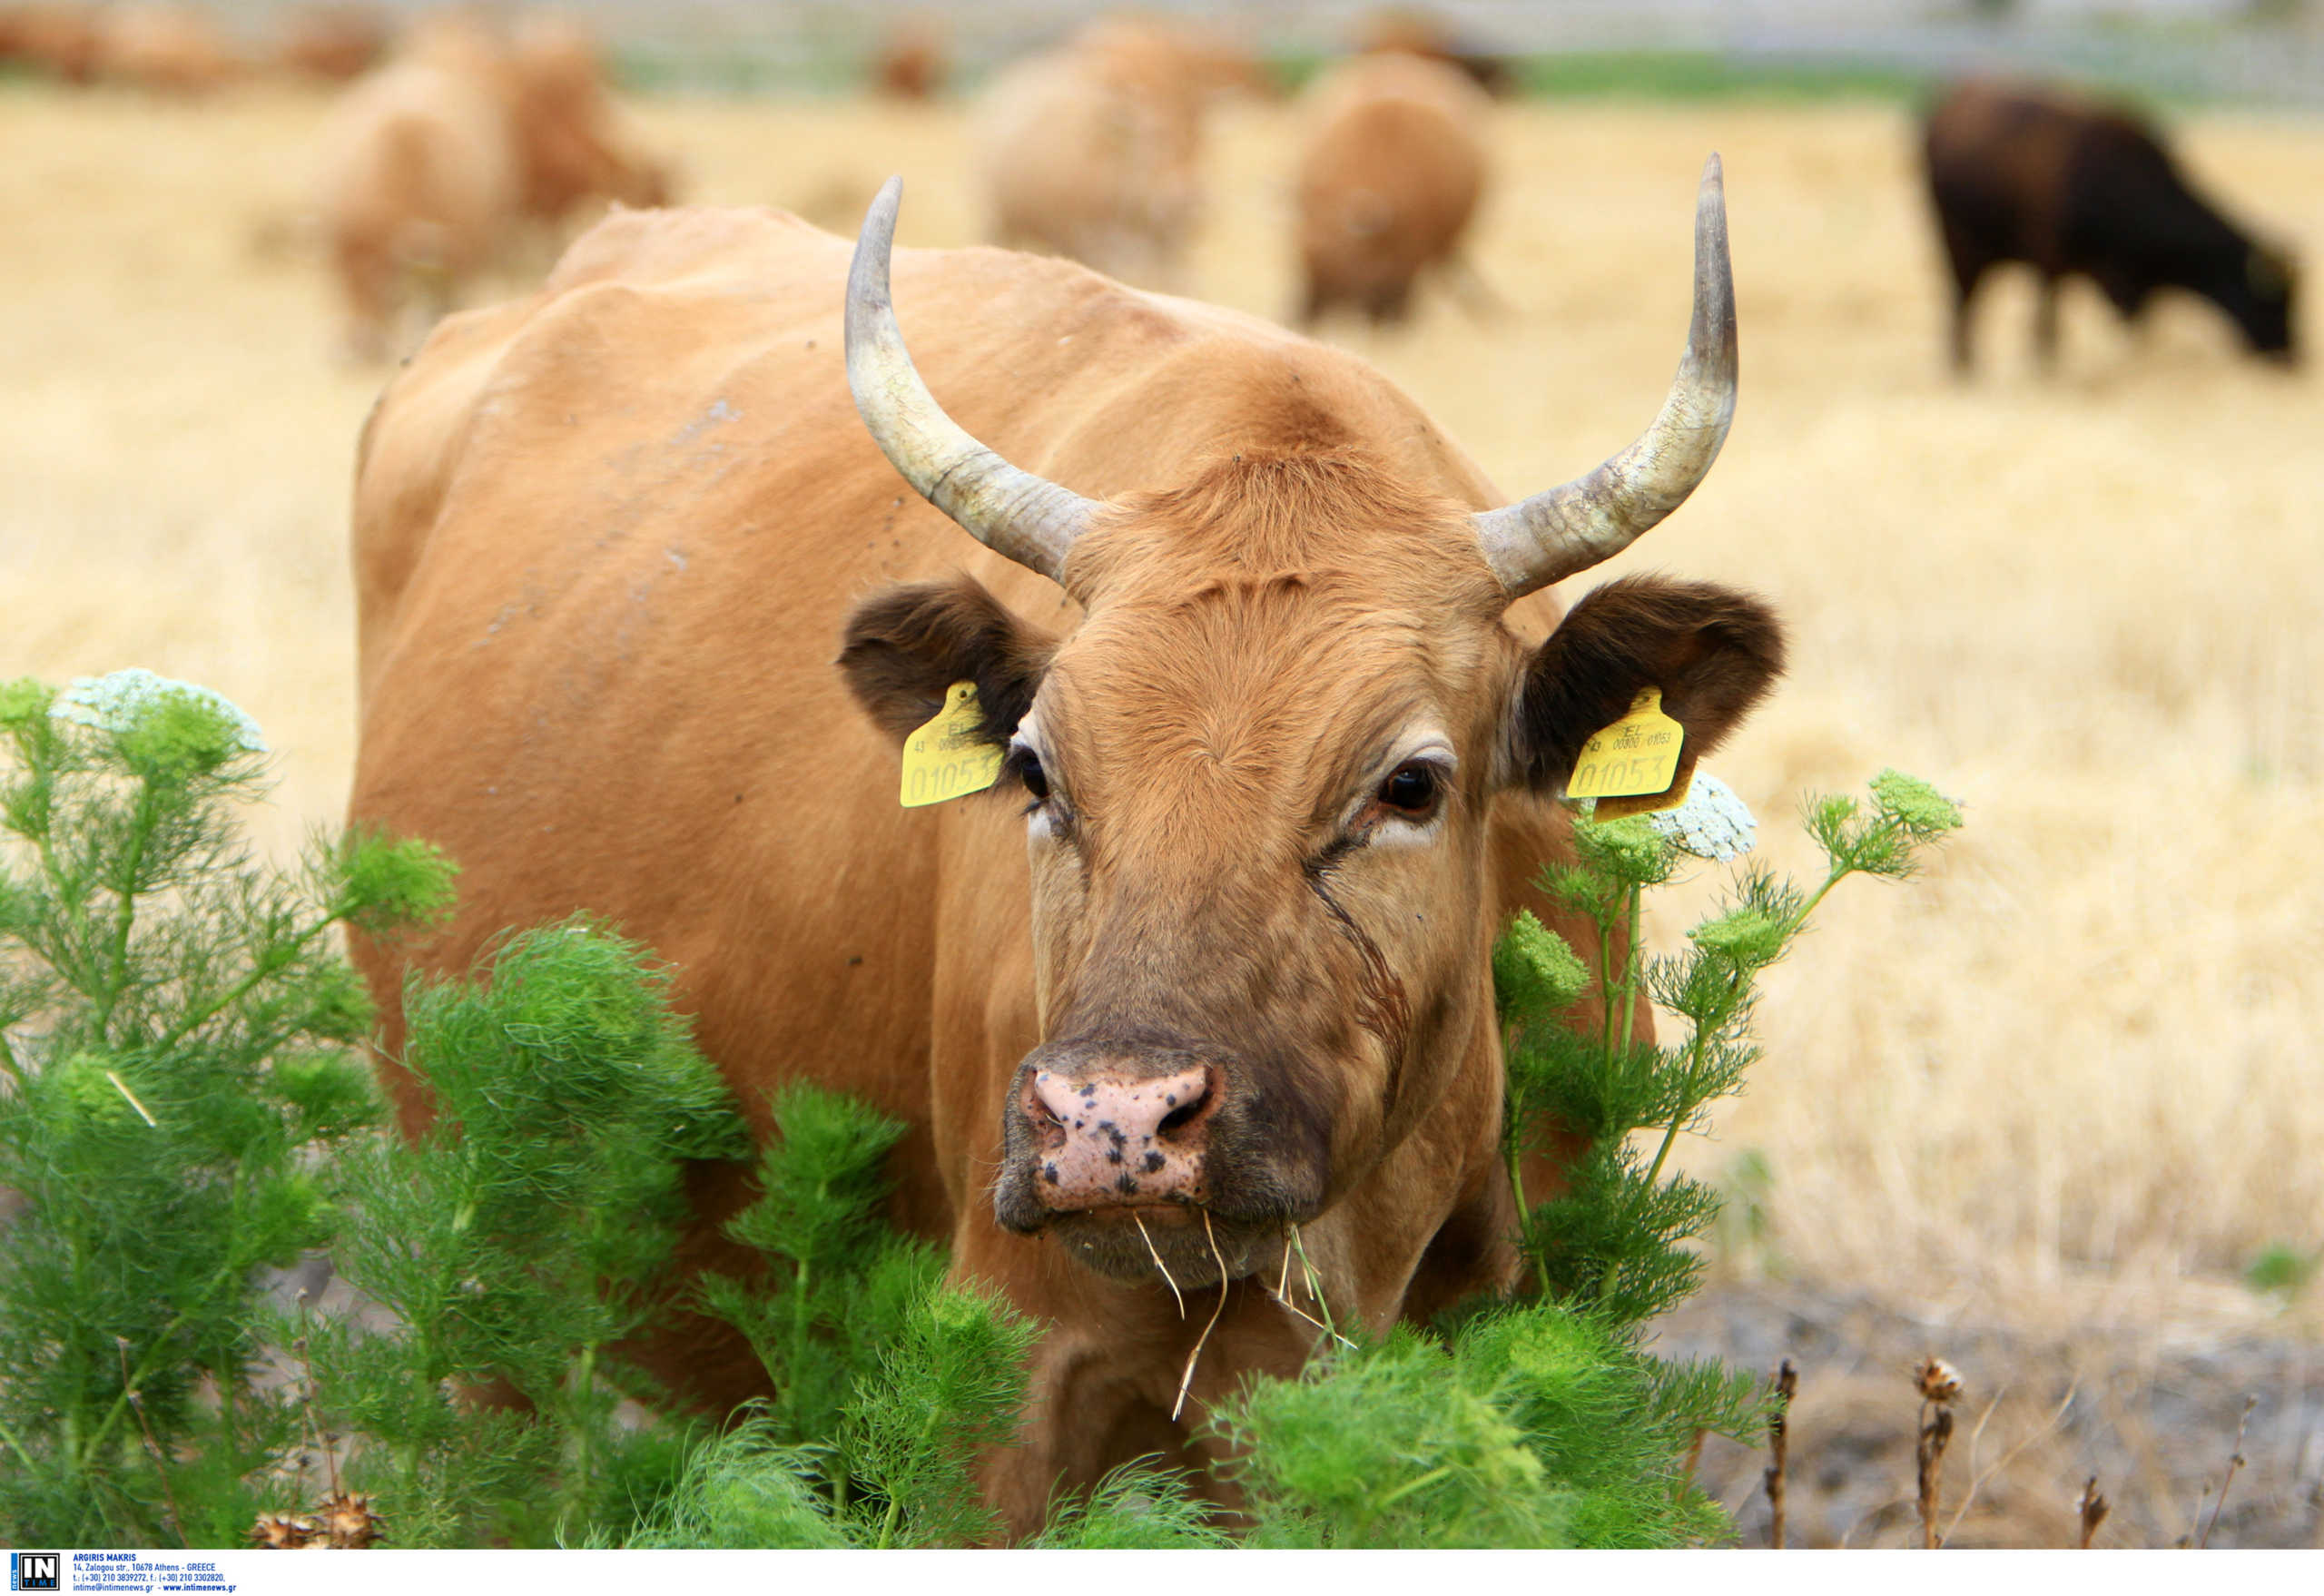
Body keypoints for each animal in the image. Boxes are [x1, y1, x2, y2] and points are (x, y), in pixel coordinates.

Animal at [976, 16, 1283, 287]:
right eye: (1153, 136)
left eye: (1201, 138)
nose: (1186, 203)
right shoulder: (1101, 249)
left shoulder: (1171, 256)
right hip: (1000, 223)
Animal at [1924, 79, 2287, 373]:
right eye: (2277, 299)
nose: (2290, 355)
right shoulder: (2051, 261)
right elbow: (2046, 325)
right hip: (1960, 248)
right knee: (1964, 304)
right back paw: (1964, 368)